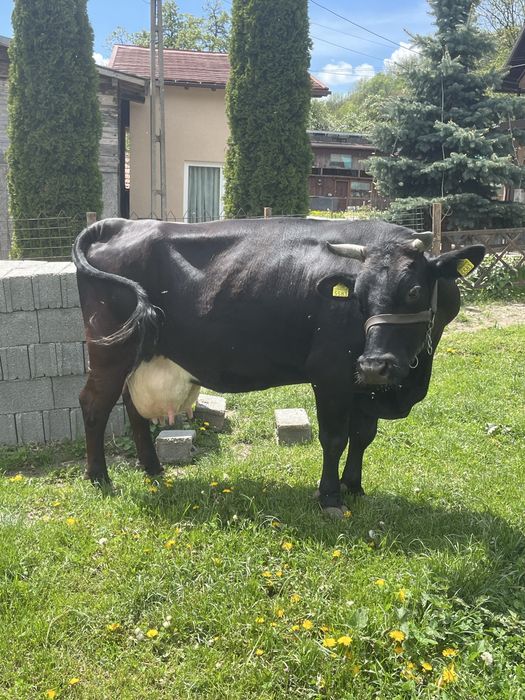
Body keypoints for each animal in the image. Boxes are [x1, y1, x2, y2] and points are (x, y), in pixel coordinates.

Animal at [73, 217, 485, 517]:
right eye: (359, 297)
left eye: (414, 291)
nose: (374, 363)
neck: (409, 381)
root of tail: (120, 223)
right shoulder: (331, 375)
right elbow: (335, 439)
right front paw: (330, 497)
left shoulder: (365, 387)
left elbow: (362, 437)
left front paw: (355, 487)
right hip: (111, 350)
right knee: (94, 404)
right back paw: (100, 478)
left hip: (140, 354)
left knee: (132, 407)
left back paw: (153, 469)